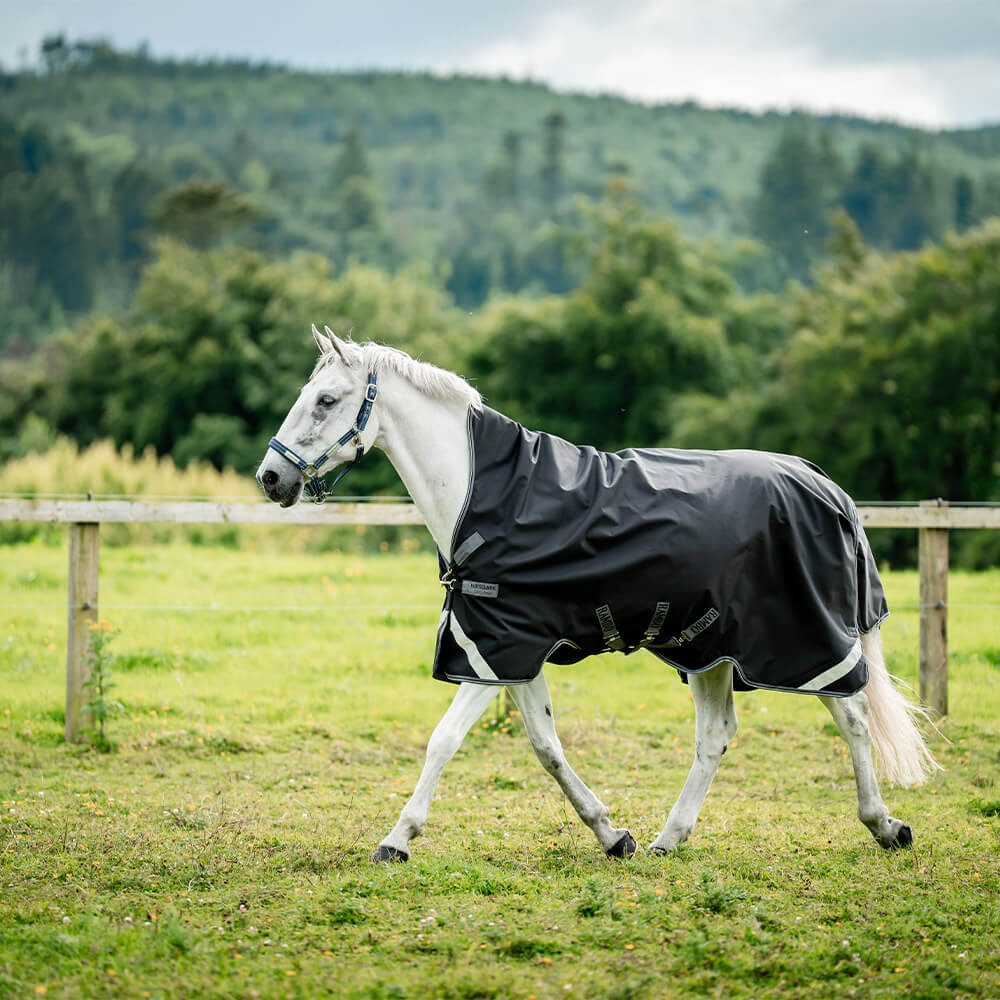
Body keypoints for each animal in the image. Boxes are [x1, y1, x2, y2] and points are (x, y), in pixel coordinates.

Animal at [256, 327, 938, 862]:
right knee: (716, 735)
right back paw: (668, 838)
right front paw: (613, 835)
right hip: (709, 648)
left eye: (326, 400)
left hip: (805, 641)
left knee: (852, 714)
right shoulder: (511, 652)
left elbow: (443, 740)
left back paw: (886, 826)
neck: (490, 496)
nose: (271, 478)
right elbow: (546, 747)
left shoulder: (494, 652)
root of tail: (824, 485)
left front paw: (396, 840)